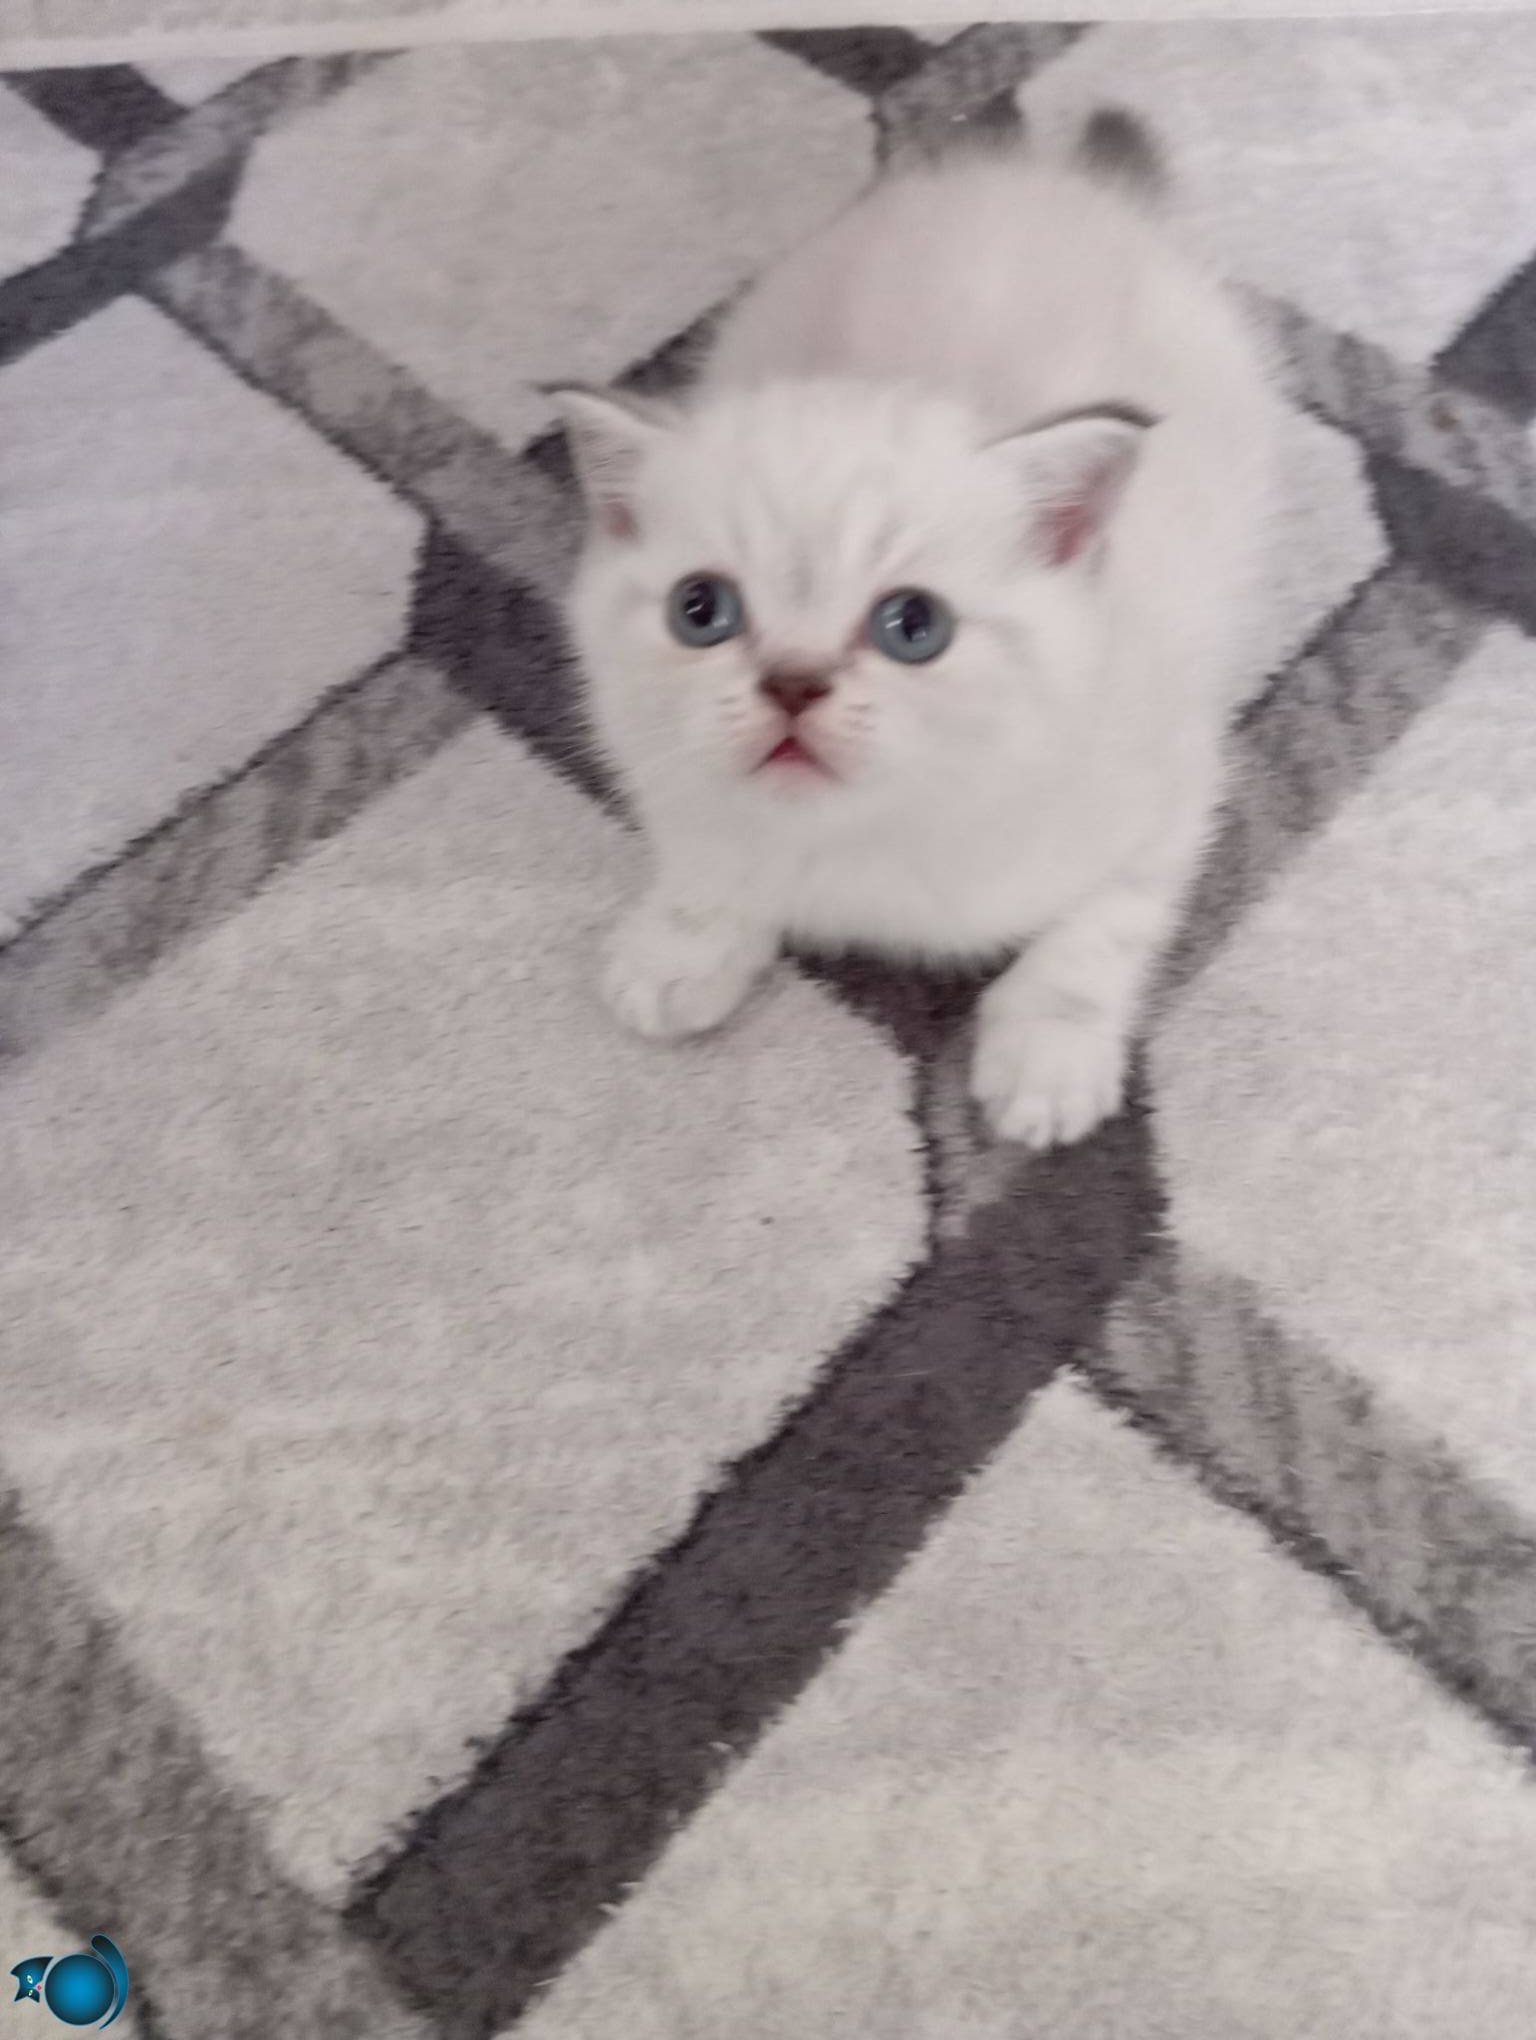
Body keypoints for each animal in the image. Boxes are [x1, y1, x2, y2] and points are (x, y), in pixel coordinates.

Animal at [550, 111, 1279, 1149]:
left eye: (913, 627)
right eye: (702, 611)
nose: (794, 682)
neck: (866, 839)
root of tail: (1055, 179)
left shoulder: (1175, 787)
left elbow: (1105, 924)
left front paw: (1048, 1058)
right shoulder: (666, 770)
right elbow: (707, 851)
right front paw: (679, 947)